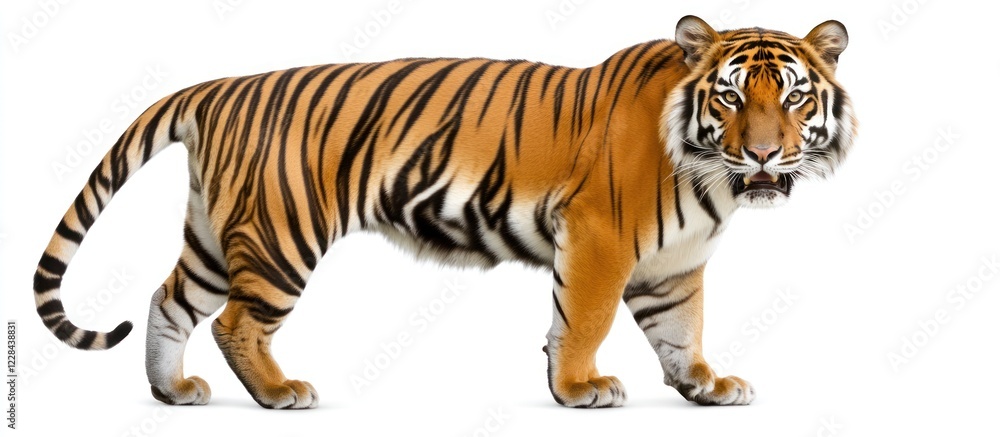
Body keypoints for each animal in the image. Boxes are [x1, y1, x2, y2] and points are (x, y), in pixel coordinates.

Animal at [33, 15, 856, 409]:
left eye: (792, 96)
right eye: (731, 97)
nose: (763, 155)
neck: (711, 177)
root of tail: (219, 86)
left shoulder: (673, 264)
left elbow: (683, 331)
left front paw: (706, 387)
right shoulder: (600, 237)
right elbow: (583, 319)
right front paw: (579, 388)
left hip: (214, 233)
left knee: (168, 300)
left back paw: (172, 391)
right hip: (279, 237)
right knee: (236, 322)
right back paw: (278, 393)